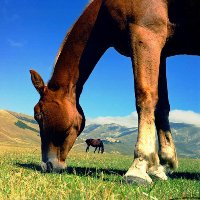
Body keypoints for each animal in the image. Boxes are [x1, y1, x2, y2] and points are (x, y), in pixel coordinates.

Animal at [30, 0, 200, 184]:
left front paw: (139, 167)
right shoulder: (161, 51)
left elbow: (144, 95)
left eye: (38, 116)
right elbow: (161, 106)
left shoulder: (146, 32)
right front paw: (160, 166)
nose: (47, 165)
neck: (103, 8)